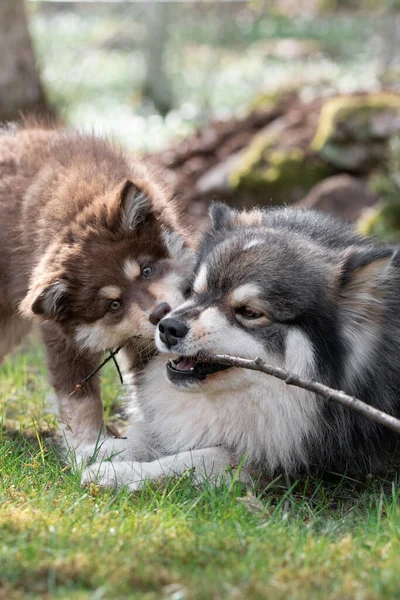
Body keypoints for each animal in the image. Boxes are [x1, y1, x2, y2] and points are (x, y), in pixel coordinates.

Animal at [0, 124, 192, 448]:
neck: (79, 203)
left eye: (147, 270)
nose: (159, 314)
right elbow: (80, 401)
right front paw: (89, 448)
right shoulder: (63, 340)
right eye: (113, 305)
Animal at [81, 204, 400, 490]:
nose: (168, 328)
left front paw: (120, 473)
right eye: (194, 292)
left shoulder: (288, 461)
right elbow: (144, 433)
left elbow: (195, 459)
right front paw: (96, 450)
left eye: (249, 312)